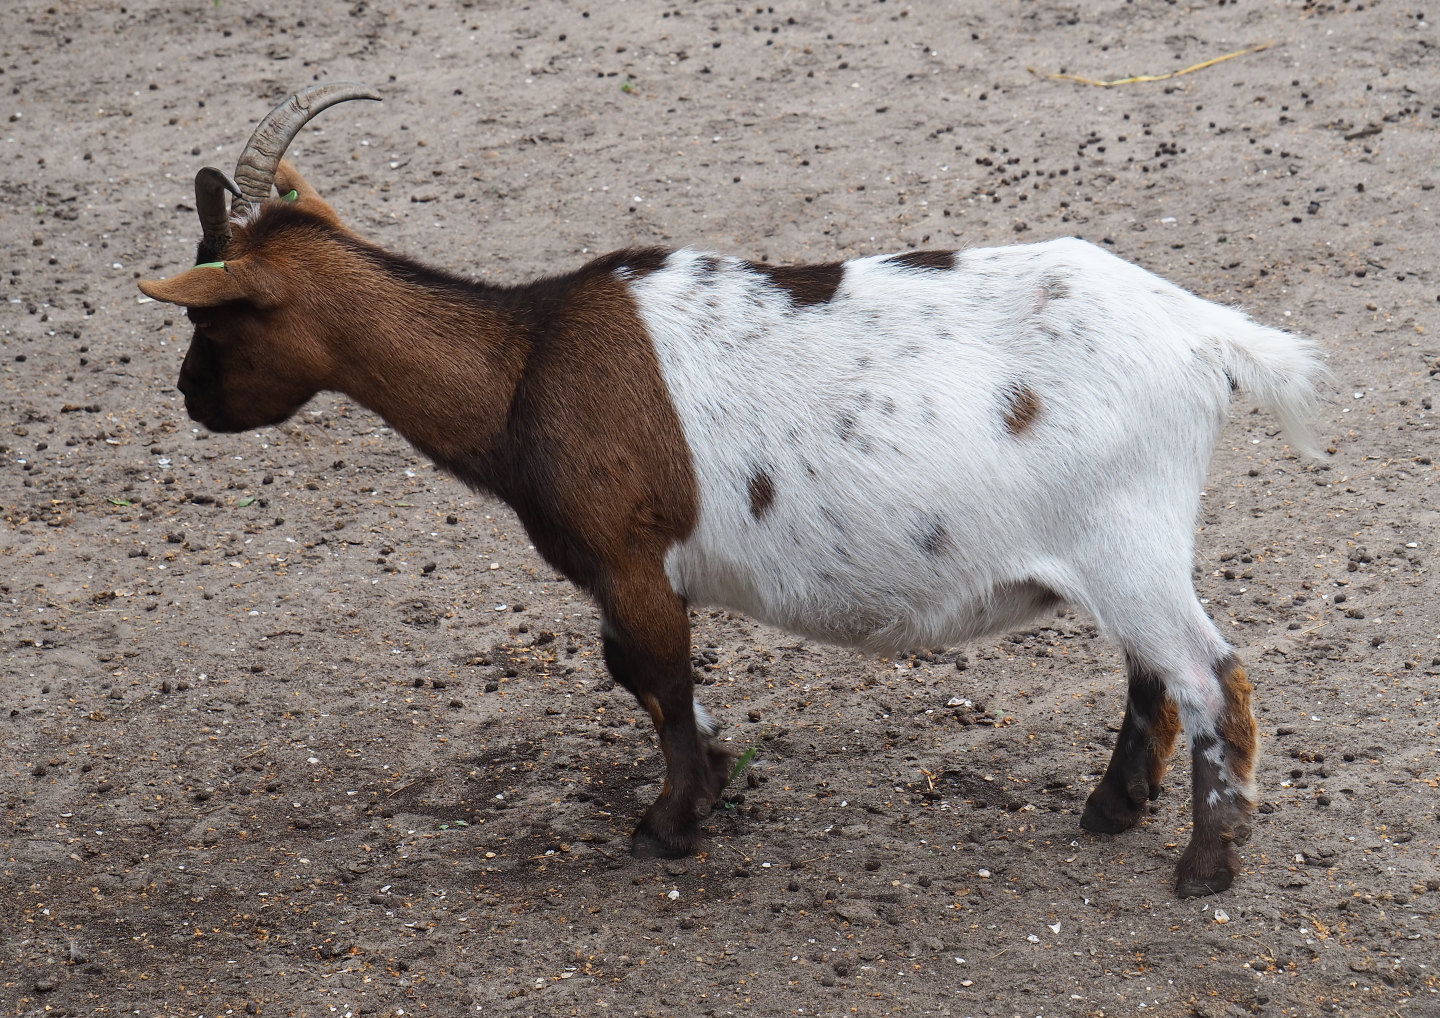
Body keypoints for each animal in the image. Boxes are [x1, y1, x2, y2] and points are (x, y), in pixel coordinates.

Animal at [138, 84, 1326, 898]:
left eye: (213, 316)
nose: (192, 397)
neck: (524, 363)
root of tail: (1206, 335)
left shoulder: (625, 555)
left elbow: (654, 676)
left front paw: (669, 824)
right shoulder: (632, 569)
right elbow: (654, 680)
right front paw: (713, 775)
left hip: (1127, 537)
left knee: (1213, 675)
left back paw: (1205, 865)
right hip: (1124, 546)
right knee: (1154, 671)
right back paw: (1112, 810)